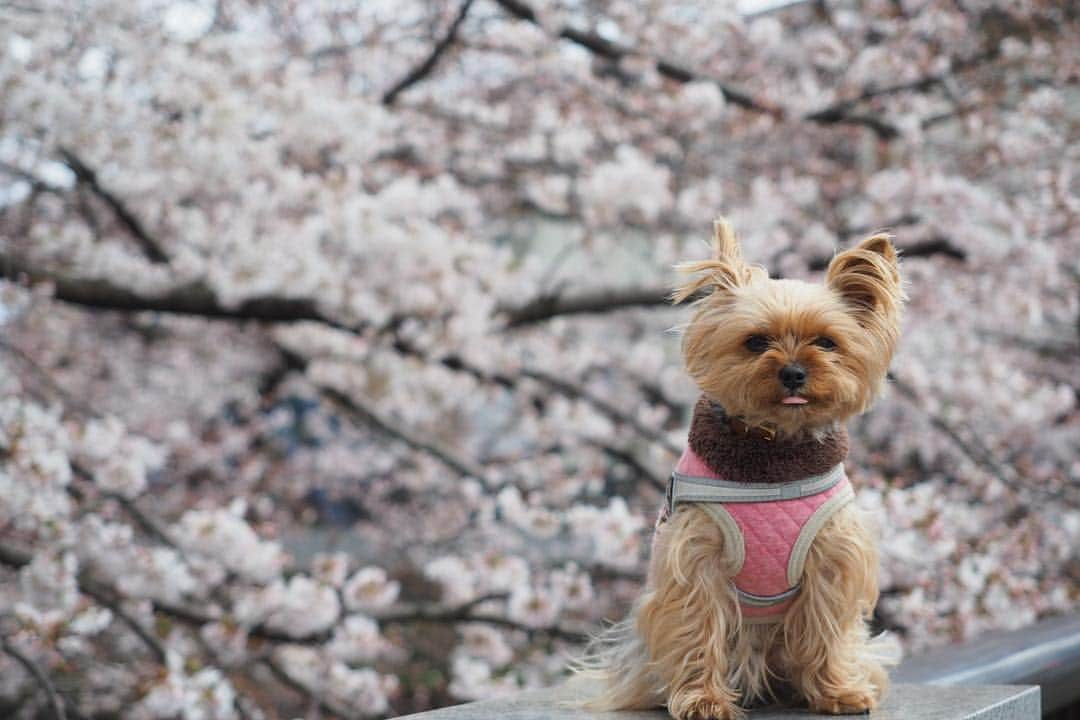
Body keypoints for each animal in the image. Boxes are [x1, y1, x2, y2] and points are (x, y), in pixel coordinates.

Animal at [583, 221, 902, 720]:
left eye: (826, 342)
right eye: (756, 342)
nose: (793, 372)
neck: (773, 457)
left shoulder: (832, 555)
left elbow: (827, 623)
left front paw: (837, 693)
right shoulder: (696, 557)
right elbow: (695, 624)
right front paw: (704, 701)